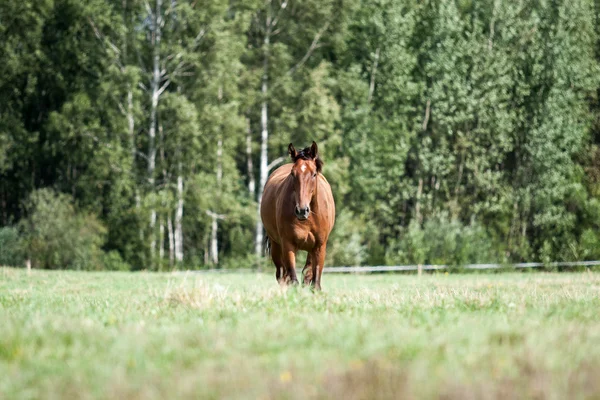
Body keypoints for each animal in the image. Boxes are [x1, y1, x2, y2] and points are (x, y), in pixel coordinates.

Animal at [260, 141, 336, 290]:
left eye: (314, 174)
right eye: (293, 174)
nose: (302, 210)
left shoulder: (319, 247)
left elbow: (314, 282)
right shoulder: (288, 244)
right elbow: (293, 279)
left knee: (305, 274)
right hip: (276, 245)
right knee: (282, 275)